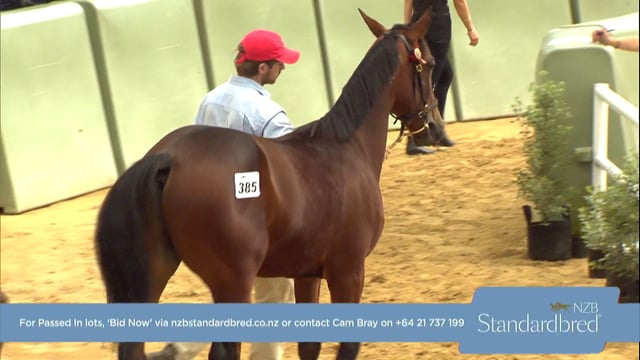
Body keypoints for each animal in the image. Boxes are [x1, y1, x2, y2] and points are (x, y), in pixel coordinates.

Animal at [95, 9, 444, 360]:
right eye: (429, 64)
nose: (434, 127)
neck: (346, 147)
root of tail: (169, 156)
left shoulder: (307, 273)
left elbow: (309, 346)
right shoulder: (348, 271)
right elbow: (347, 346)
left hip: (154, 274)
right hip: (233, 283)